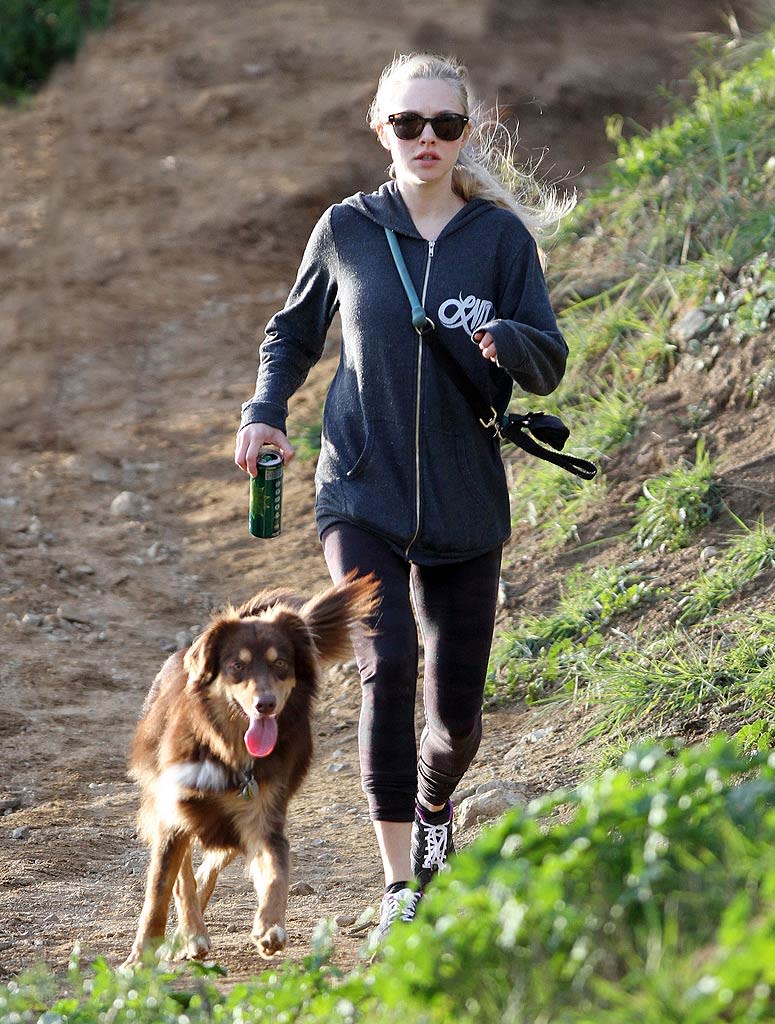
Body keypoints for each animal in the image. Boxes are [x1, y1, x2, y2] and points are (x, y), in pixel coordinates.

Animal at [123, 569, 378, 966]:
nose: (266, 704)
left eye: (280, 664)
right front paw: (141, 956)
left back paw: (192, 931)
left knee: (211, 864)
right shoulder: (173, 813)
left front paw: (270, 927)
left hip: (228, 823)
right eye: (237, 666)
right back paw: (193, 933)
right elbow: (161, 888)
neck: (227, 753)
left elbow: (276, 872)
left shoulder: (262, 818)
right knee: (184, 875)